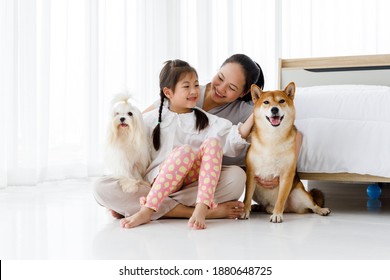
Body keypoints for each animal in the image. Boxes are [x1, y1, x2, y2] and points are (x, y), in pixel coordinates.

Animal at [242, 82, 330, 222]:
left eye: (282, 101)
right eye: (266, 102)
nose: (274, 109)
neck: (273, 138)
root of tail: (289, 209)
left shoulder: (286, 175)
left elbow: (281, 199)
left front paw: (277, 215)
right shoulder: (251, 174)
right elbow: (247, 197)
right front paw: (244, 211)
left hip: (300, 193)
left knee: (313, 205)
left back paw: (322, 210)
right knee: (264, 205)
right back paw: (259, 207)